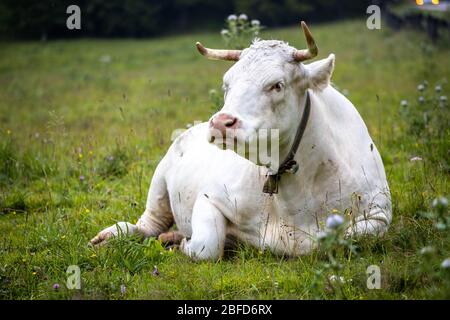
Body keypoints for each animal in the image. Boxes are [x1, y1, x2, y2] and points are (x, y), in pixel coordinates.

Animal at [91, 21, 390, 260]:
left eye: (277, 85)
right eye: (227, 84)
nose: (220, 122)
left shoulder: (379, 216)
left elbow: (340, 239)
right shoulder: (210, 196)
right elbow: (206, 246)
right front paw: (182, 242)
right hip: (160, 180)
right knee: (148, 224)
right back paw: (116, 235)